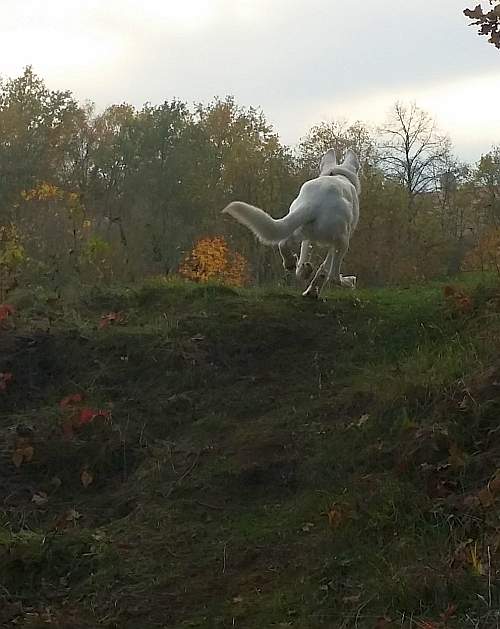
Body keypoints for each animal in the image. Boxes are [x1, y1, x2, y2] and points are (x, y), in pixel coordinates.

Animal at [223, 147, 360, 296]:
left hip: (299, 229)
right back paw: (348, 281)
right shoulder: (337, 242)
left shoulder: (309, 240)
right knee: (334, 276)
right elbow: (325, 269)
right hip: (342, 241)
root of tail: (313, 202)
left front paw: (309, 285)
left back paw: (293, 264)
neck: (338, 174)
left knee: (283, 244)